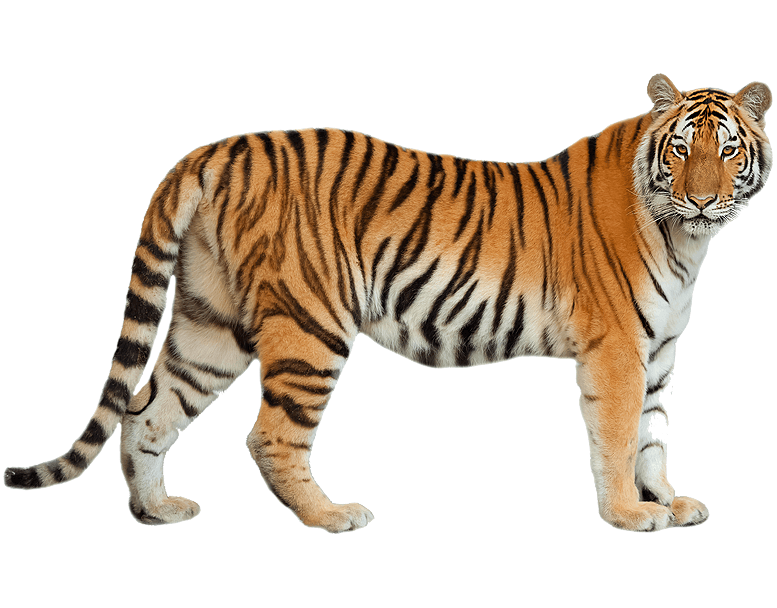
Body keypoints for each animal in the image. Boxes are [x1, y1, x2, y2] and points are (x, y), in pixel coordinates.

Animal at [4, 74, 772, 533]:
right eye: (681, 151)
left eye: (729, 152)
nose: (703, 199)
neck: (686, 241)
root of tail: (215, 150)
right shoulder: (615, 350)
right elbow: (615, 438)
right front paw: (628, 515)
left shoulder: (657, 352)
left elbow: (651, 438)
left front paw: (669, 502)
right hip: (310, 325)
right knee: (269, 434)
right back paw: (331, 516)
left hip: (210, 324)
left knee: (146, 409)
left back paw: (158, 509)